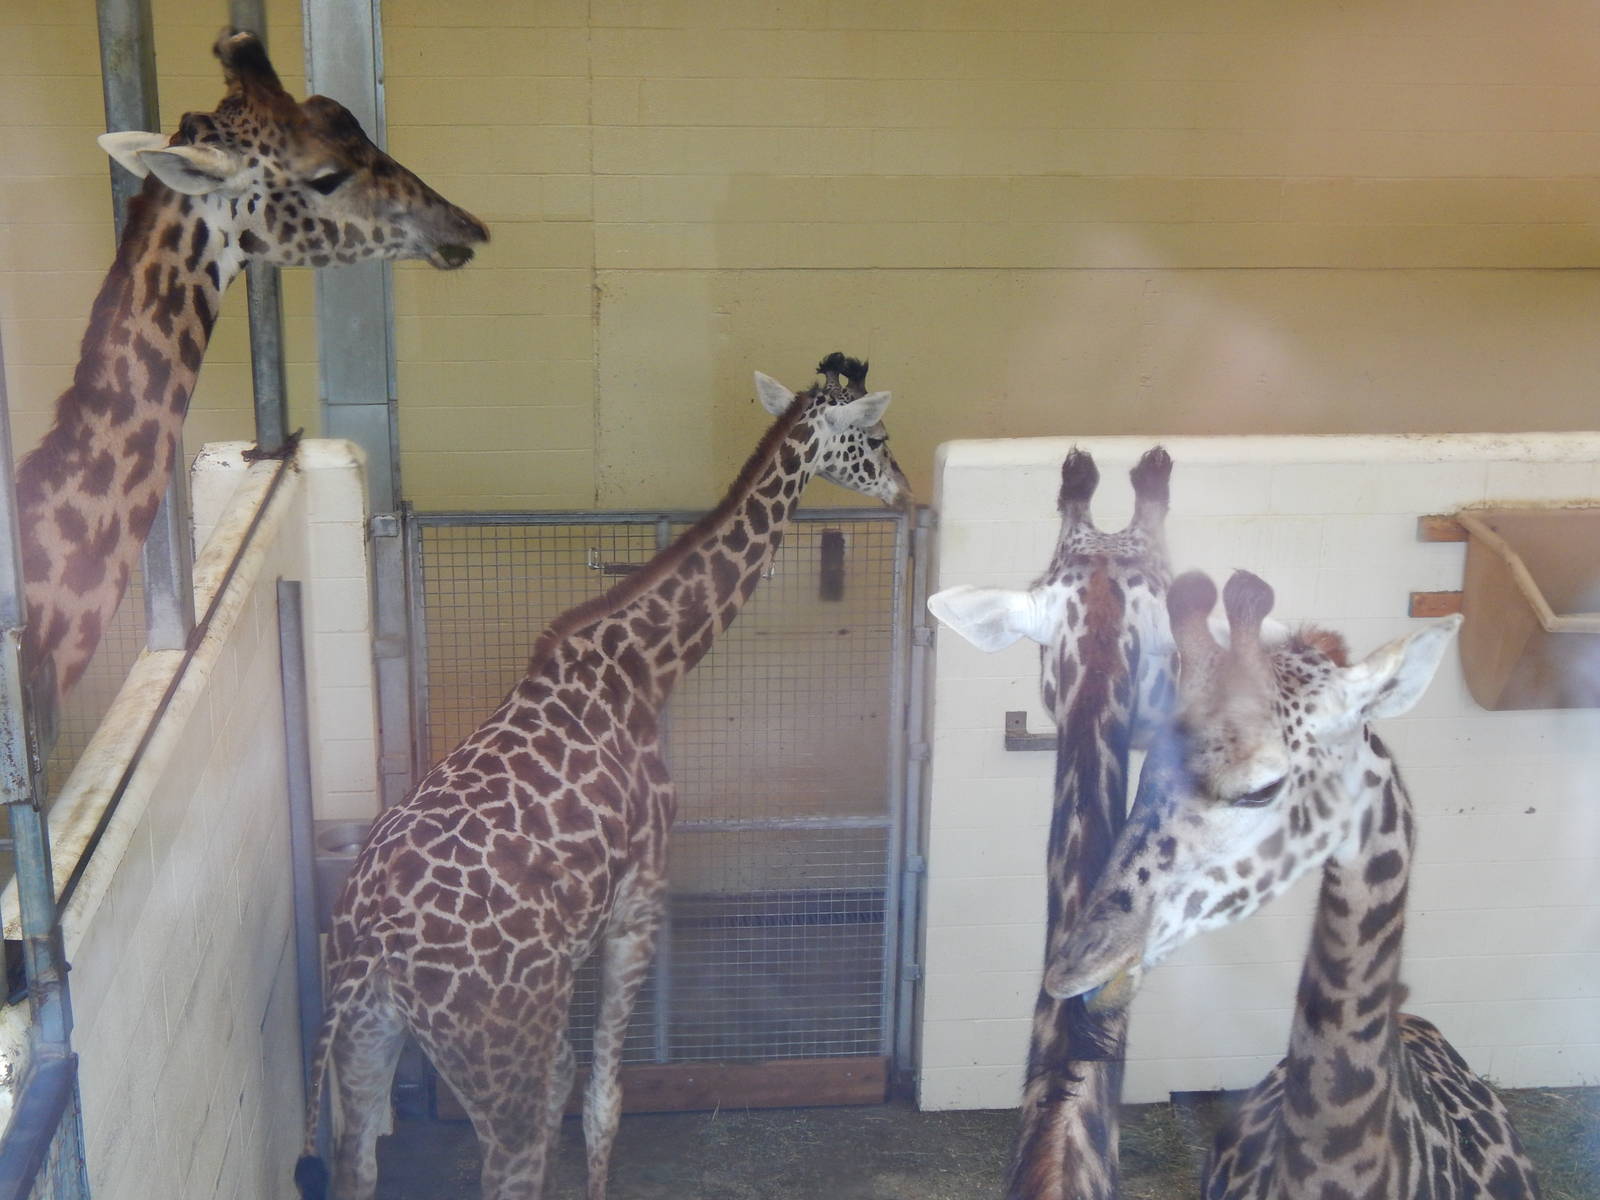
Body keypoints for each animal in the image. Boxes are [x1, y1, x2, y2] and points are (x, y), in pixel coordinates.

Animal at [293, 353, 910, 1200]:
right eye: (875, 437)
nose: (904, 491)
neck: (641, 671)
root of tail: (370, 946)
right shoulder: (639, 901)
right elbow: (602, 1101)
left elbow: (568, 1082)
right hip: (493, 1054)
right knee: (510, 1159)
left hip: (366, 1045)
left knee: (359, 1162)